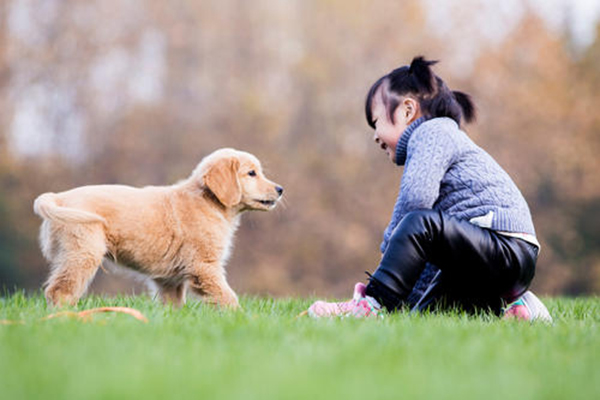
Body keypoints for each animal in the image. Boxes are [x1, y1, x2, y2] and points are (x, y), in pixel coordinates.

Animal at [34, 148, 282, 308]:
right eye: (252, 173)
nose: (280, 189)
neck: (207, 201)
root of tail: (58, 198)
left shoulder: (170, 280)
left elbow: (173, 306)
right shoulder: (204, 266)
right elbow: (227, 297)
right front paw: (242, 318)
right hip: (83, 252)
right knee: (59, 291)